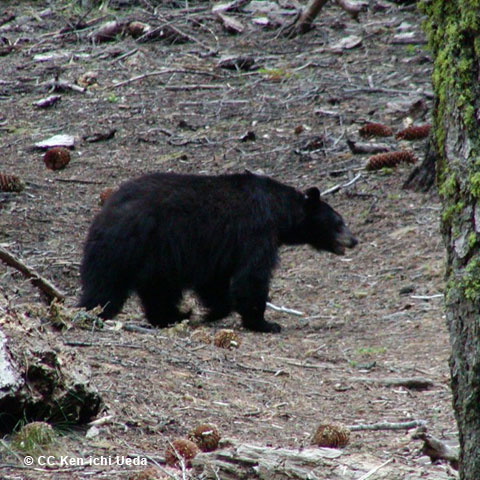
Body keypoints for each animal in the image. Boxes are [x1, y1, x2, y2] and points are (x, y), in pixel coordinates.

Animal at [79, 172, 356, 334]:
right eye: (338, 222)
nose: (354, 240)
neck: (278, 209)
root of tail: (106, 214)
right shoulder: (255, 231)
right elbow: (251, 277)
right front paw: (265, 323)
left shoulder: (217, 250)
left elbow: (215, 281)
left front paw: (213, 311)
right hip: (141, 245)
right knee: (120, 288)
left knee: (135, 288)